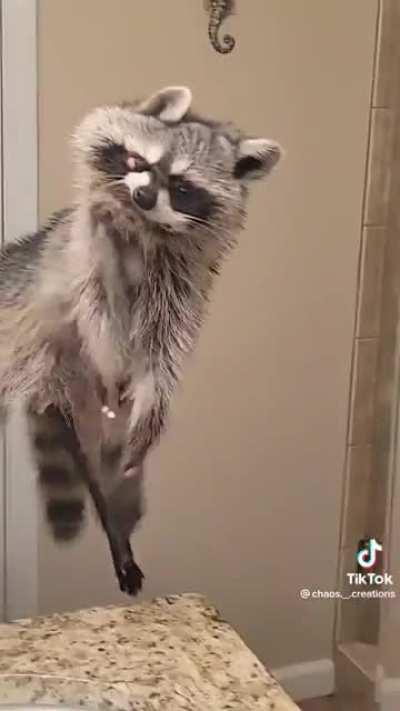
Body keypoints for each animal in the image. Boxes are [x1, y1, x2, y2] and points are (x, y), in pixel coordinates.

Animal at [0, 86, 281, 595]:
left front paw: (153, 400)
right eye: (137, 160)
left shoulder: (180, 286)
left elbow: (163, 352)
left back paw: (120, 526)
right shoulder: (81, 255)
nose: (145, 194)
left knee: (121, 484)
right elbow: (94, 307)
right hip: (56, 369)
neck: (144, 227)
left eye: (183, 186)